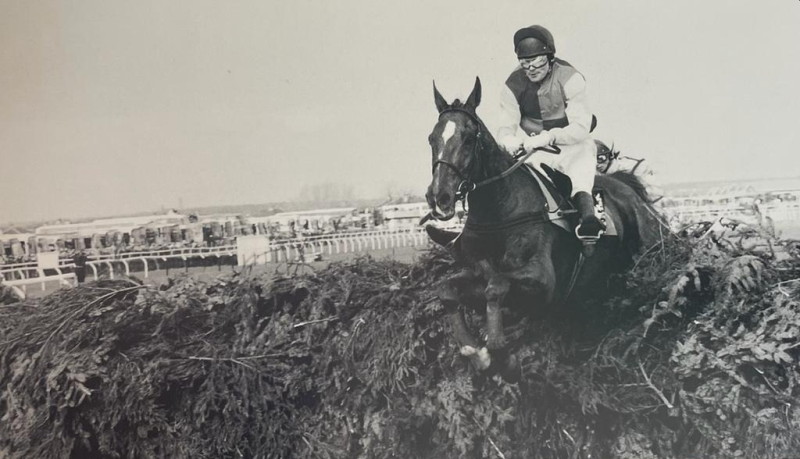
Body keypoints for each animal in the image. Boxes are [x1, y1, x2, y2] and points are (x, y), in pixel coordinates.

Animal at [424, 78, 664, 374]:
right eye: (431, 139)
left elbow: (497, 286)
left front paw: (497, 350)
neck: (500, 211)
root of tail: (626, 186)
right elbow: (447, 289)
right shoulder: (477, 272)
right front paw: (473, 349)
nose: (439, 196)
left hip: (646, 249)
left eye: (468, 139)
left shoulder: (542, 280)